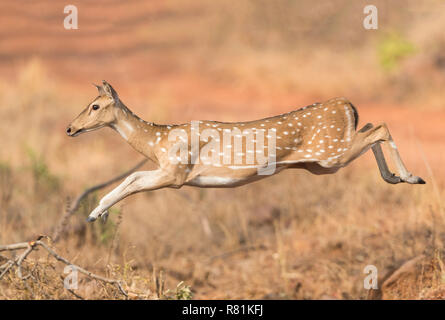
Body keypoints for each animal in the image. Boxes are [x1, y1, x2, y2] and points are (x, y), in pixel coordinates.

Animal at [66, 80, 424, 221]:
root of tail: (347, 105)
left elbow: (134, 180)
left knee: (381, 127)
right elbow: (133, 178)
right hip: (325, 160)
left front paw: (95, 213)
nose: (70, 128)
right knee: (372, 127)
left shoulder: (177, 173)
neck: (157, 141)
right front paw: (98, 212)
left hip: (331, 152)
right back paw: (395, 177)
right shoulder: (169, 170)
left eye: (95, 105)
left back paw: (412, 177)